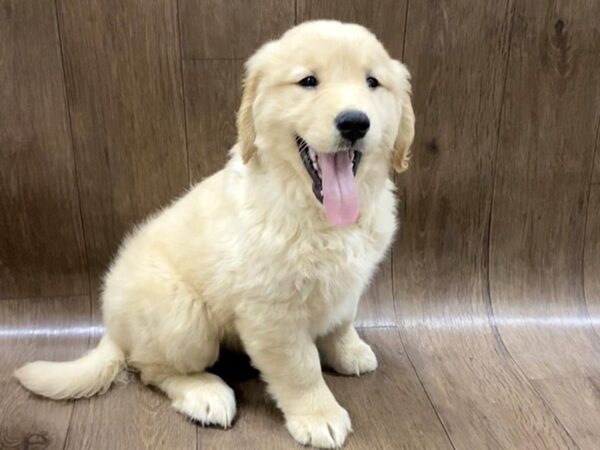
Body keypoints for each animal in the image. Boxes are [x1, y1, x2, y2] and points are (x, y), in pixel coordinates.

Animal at [16, 20, 414, 446]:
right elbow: (300, 368)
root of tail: (113, 330)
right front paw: (318, 415)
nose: (355, 122)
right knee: (150, 368)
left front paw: (349, 351)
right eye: (308, 81)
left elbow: (342, 319)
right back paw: (205, 394)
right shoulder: (272, 313)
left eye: (372, 82)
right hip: (184, 317)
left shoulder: (349, 282)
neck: (313, 211)